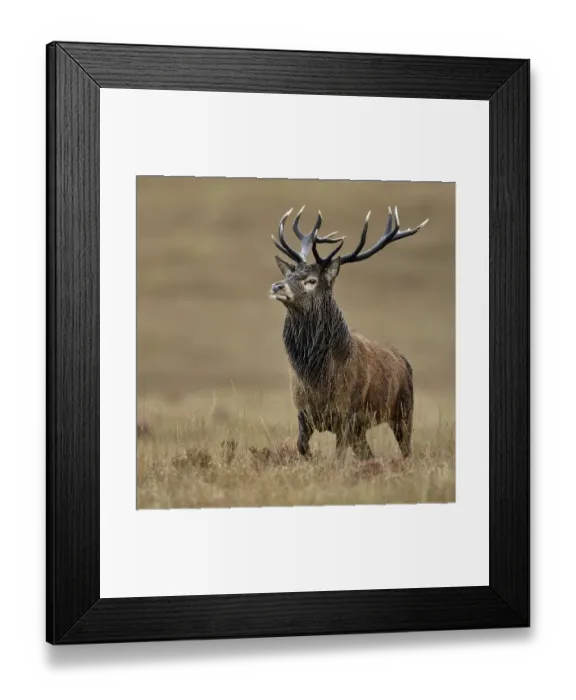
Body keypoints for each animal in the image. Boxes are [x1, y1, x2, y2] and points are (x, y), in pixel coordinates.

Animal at [270, 205, 429, 462]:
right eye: (288, 275)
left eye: (311, 280)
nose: (277, 286)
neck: (317, 376)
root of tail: (404, 360)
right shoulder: (304, 413)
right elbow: (302, 447)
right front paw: (311, 459)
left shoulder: (346, 416)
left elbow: (338, 459)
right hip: (362, 429)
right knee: (368, 454)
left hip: (404, 411)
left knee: (406, 451)